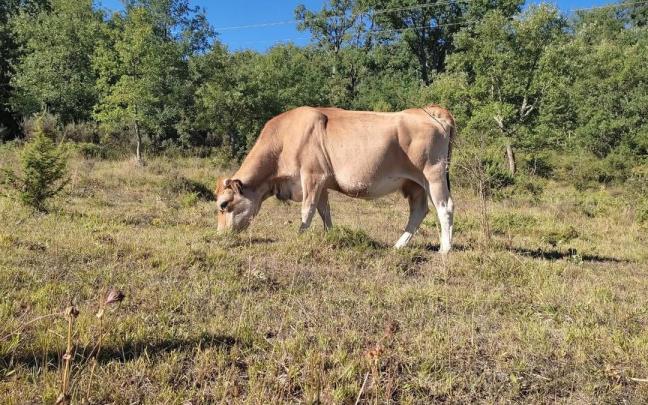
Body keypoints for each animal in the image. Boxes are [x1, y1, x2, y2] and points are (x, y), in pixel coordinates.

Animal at [215, 105, 455, 252]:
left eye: (224, 204)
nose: (220, 235)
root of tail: (429, 111)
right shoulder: (322, 183)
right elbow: (324, 211)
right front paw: (330, 236)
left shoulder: (312, 176)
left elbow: (307, 210)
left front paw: (300, 236)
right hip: (415, 184)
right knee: (419, 211)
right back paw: (399, 245)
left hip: (433, 175)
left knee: (445, 207)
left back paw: (445, 249)